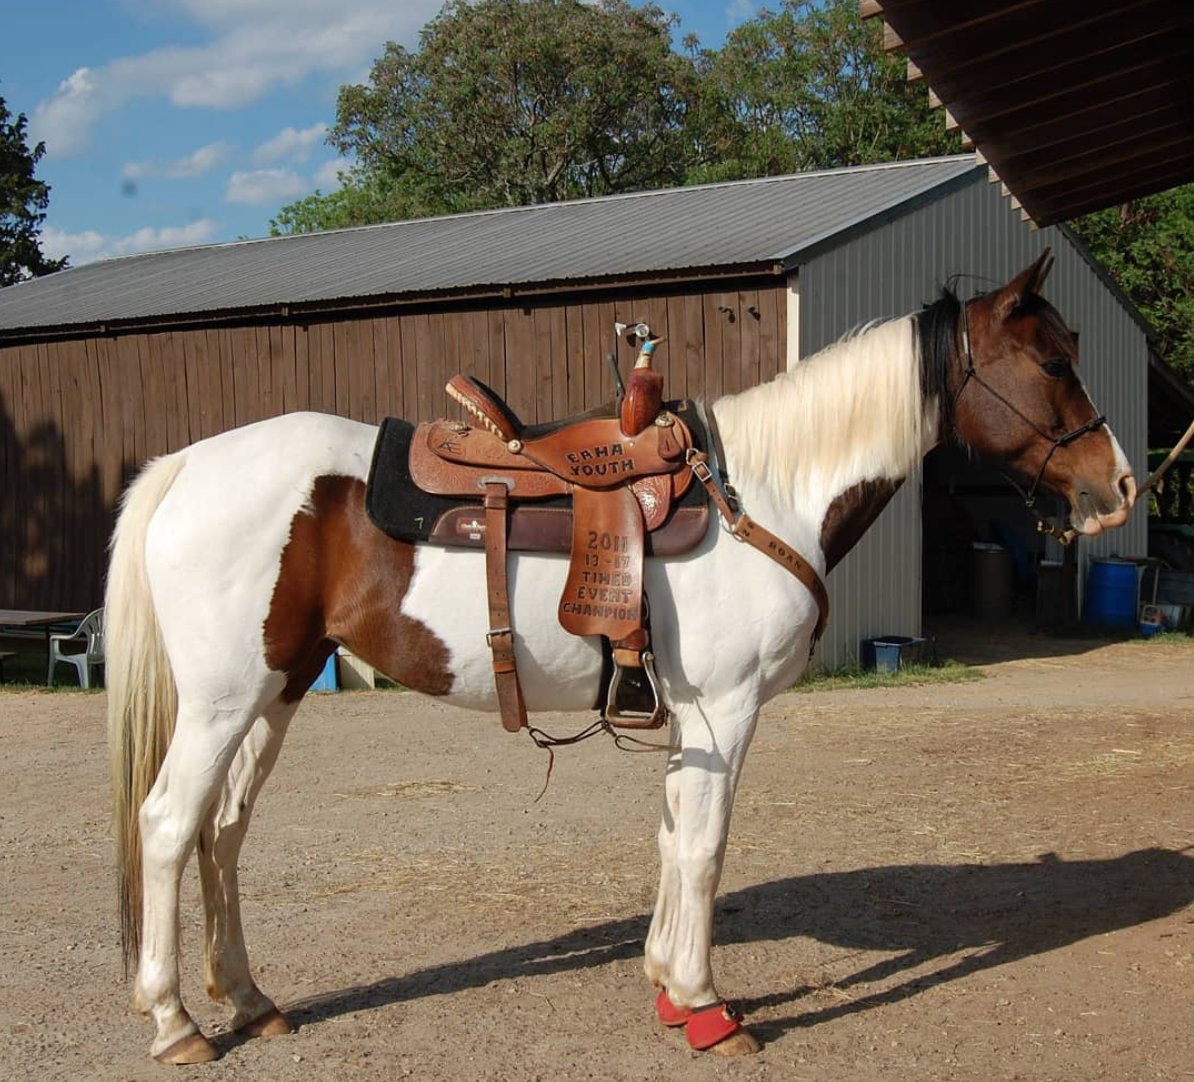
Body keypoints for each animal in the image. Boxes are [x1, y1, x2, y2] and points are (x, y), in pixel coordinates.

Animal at [105, 251, 1135, 1063]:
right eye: (1053, 361)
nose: (1120, 485)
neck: (761, 493)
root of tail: (187, 465)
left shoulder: (692, 720)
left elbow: (675, 839)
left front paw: (668, 989)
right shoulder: (727, 710)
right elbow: (708, 848)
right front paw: (709, 1010)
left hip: (274, 692)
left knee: (223, 830)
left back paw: (249, 1000)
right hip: (221, 702)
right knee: (168, 825)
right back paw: (175, 1023)